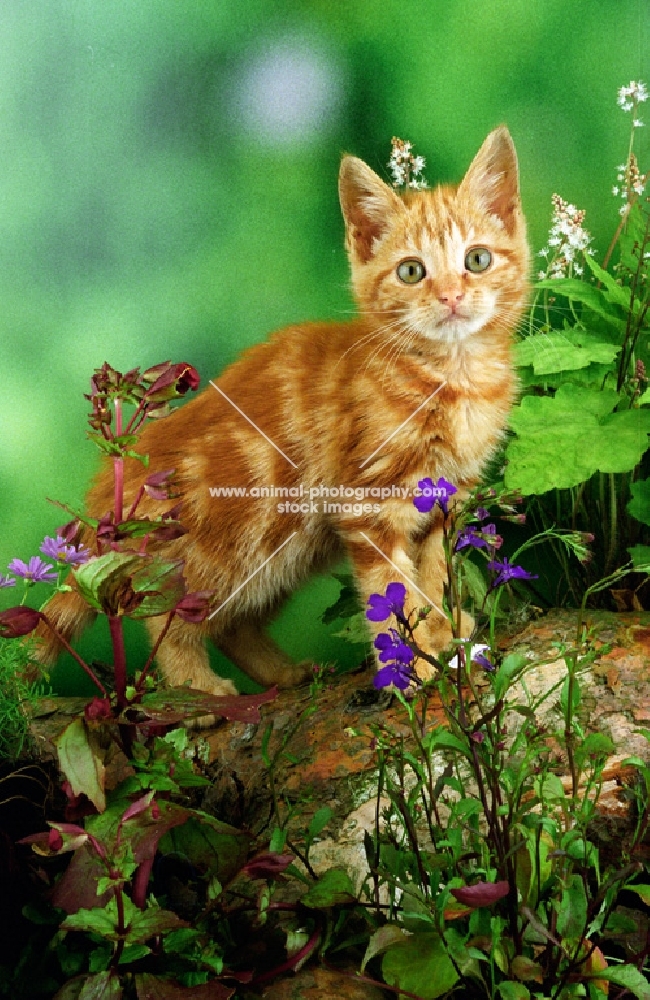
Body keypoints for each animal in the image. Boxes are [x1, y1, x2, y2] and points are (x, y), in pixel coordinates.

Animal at [38, 127, 528, 696]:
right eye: (411, 271)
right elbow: (390, 589)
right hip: (225, 544)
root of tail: (109, 492)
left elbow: (432, 575)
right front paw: (410, 664)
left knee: (232, 623)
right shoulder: (367, 504)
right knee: (168, 614)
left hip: (283, 553)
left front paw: (444, 632)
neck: (451, 376)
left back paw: (283, 672)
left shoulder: (445, 503)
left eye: (477, 260)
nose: (450, 297)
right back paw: (194, 683)